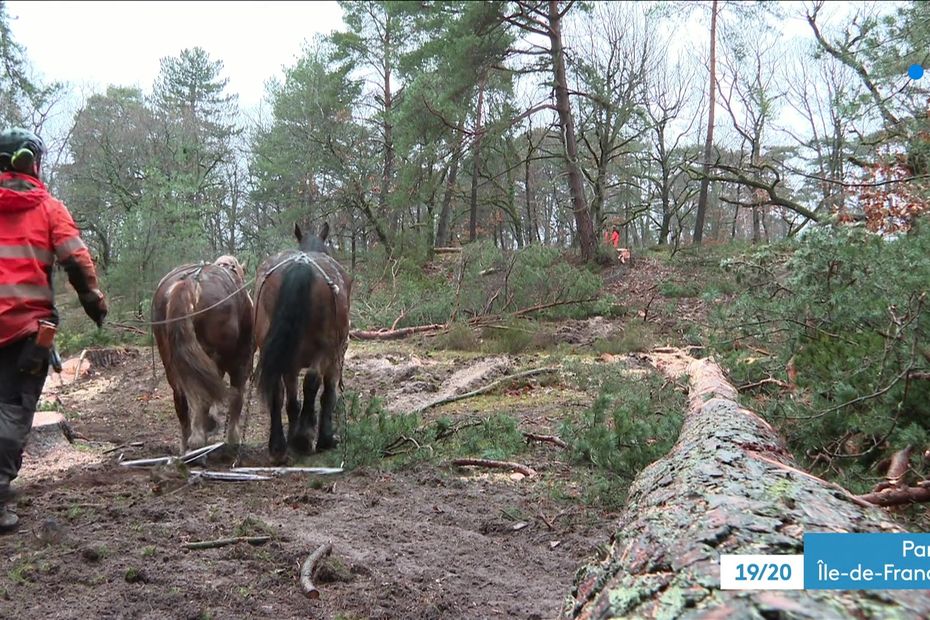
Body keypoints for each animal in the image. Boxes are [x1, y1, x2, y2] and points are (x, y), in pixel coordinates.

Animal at [152, 254, 254, 452]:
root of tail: (189, 283)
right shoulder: (242, 360)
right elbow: (237, 397)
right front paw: (233, 438)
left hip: (172, 361)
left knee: (182, 400)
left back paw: (187, 445)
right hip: (211, 355)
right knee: (204, 395)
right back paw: (199, 438)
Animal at [254, 222, 352, 460]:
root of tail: (301, 266)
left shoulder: (290, 361)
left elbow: (291, 399)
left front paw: (292, 434)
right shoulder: (336, 356)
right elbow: (328, 394)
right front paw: (323, 438)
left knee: (277, 390)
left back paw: (278, 444)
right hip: (325, 350)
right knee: (312, 382)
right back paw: (305, 438)